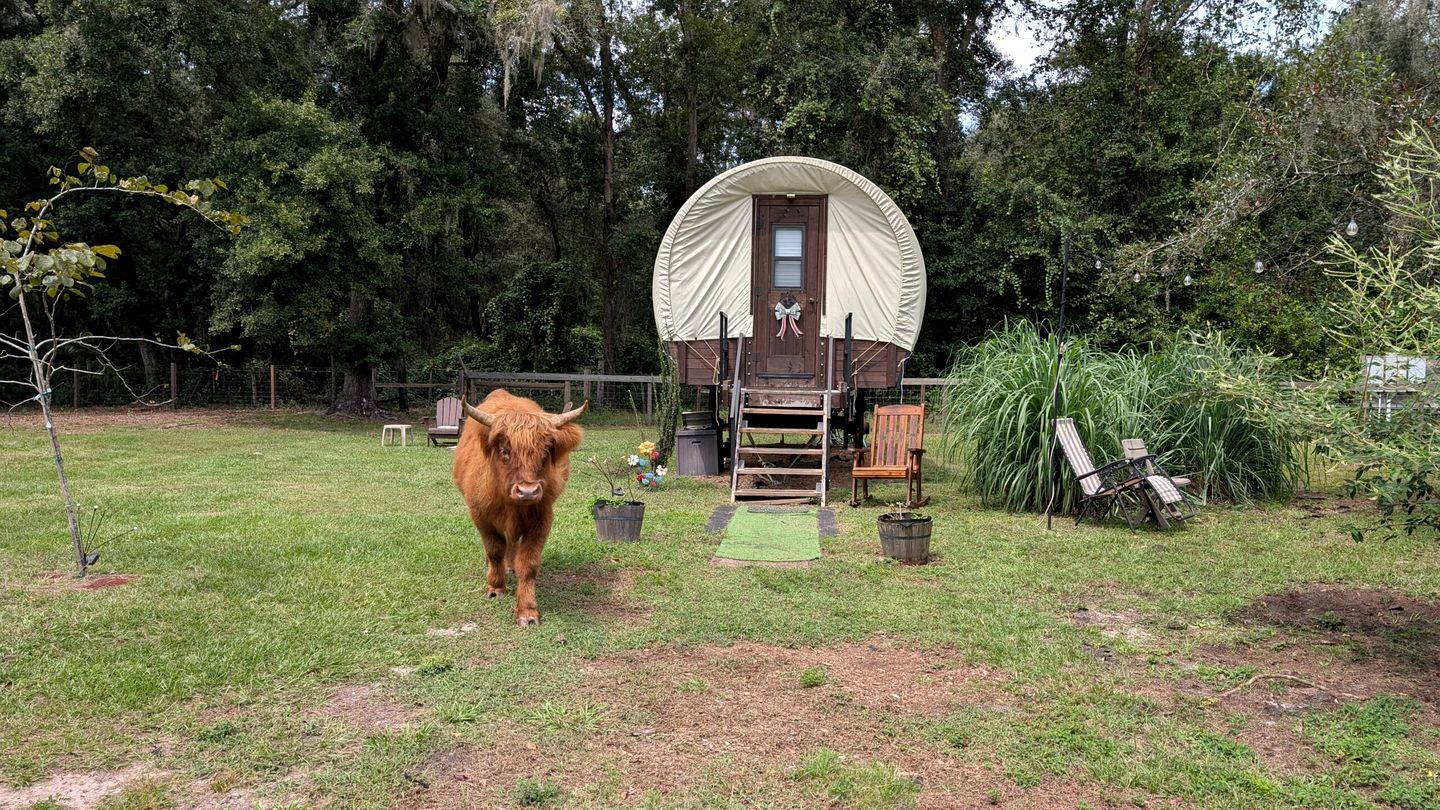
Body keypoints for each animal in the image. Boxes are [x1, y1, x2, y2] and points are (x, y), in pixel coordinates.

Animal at [452, 389, 587, 626]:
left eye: (545, 452)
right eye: (505, 451)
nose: (527, 491)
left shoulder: (542, 519)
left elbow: (528, 563)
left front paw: (527, 611)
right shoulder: (481, 517)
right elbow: (494, 551)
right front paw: (495, 588)